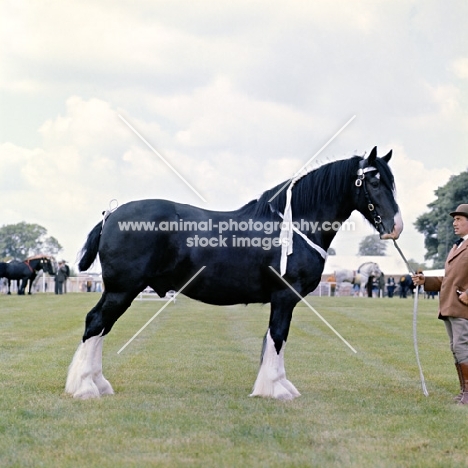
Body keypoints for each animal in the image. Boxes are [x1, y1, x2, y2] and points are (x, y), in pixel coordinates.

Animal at [65, 146, 402, 398]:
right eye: (374, 182)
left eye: (392, 182)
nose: (395, 226)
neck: (296, 225)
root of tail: (111, 215)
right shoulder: (284, 296)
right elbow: (278, 336)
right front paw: (276, 389)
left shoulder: (282, 300)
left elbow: (275, 339)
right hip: (121, 289)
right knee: (96, 323)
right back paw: (85, 387)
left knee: (101, 327)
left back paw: (97, 383)